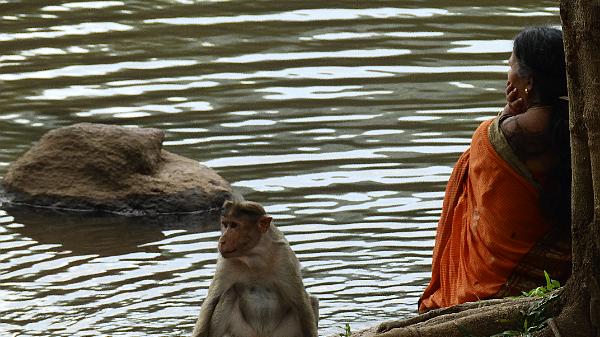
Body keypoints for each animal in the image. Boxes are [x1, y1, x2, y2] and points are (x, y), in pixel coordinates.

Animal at [191, 200, 318, 336]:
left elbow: (301, 304)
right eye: (225, 225)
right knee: (228, 294)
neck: (255, 256)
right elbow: (211, 302)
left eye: (234, 225)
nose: (221, 240)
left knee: (312, 301)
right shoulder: (226, 262)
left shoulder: (284, 257)